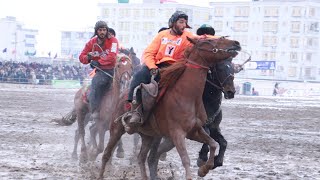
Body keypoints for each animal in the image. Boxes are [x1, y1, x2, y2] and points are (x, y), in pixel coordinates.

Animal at [99, 35, 241, 179]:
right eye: (210, 40)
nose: (236, 43)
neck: (187, 96)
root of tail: (122, 96)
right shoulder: (177, 133)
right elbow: (185, 159)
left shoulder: (195, 130)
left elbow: (213, 143)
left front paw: (204, 169)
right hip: (116, 129)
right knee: (106, 154)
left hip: (148, 135)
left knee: (142, 157)